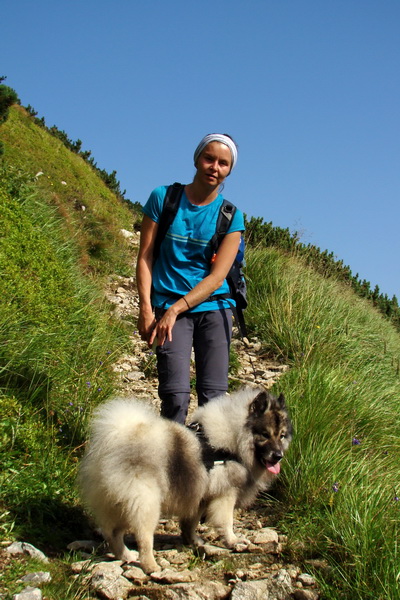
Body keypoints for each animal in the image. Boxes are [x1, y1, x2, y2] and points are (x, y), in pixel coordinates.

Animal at [79, 386, 290, 576]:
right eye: (265, 434)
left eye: (281, 435)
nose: (278, 455)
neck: (234, 438)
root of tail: (115, 439)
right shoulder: (226, 494)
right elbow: (226, 522)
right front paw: (233, 541)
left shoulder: (200, 497)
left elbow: (190, 523)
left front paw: (193, 540)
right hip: (145, 503)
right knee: (143, 537)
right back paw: (149, 565)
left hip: (119, 504)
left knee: (114, 533)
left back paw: (126, 555)